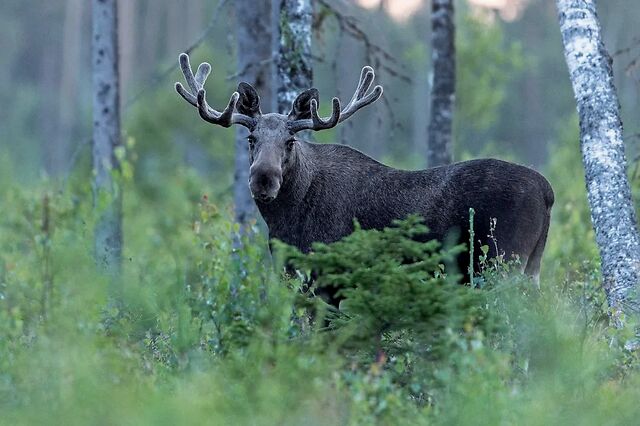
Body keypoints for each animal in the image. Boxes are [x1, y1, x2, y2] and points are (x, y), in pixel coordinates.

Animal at [176, 53, 556, 282]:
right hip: (531, 266)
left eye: (290, 142)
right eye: (250, 138)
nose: (263, 180)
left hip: (502, 260)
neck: (285, 221)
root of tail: (547, 190)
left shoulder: (326, 274)